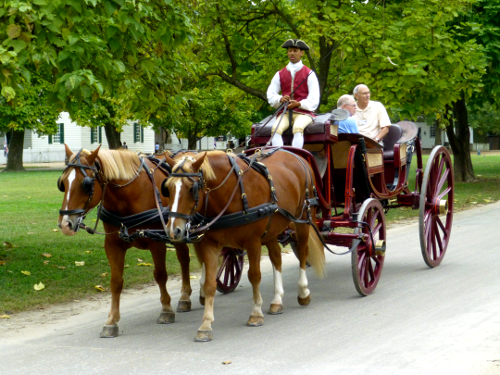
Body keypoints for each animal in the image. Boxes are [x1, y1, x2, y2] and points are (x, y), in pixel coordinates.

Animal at [57, 145, 192, 340]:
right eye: (63, 183)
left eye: (86, 184)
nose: (65, 225)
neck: (129, 195)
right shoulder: (113, 244)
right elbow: (116, 282)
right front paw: (112, 320)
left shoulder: (156, 242)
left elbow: (160, 275)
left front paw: (166, 309)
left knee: (184, 259)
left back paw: (186, 297)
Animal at [164, 151, 324, 344]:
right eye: (168, 188)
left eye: (191, 188)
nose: (173, 230)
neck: (230, 194)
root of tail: (296, 156)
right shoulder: (210, 245)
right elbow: (210, 284)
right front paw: (205, 325)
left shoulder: (253, 242)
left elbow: (254, 276)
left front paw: (256, 313)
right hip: (272, 229)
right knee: (276, 257)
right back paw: (277, 300)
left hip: (303, 219)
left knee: (302, 253)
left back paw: (303, 292)